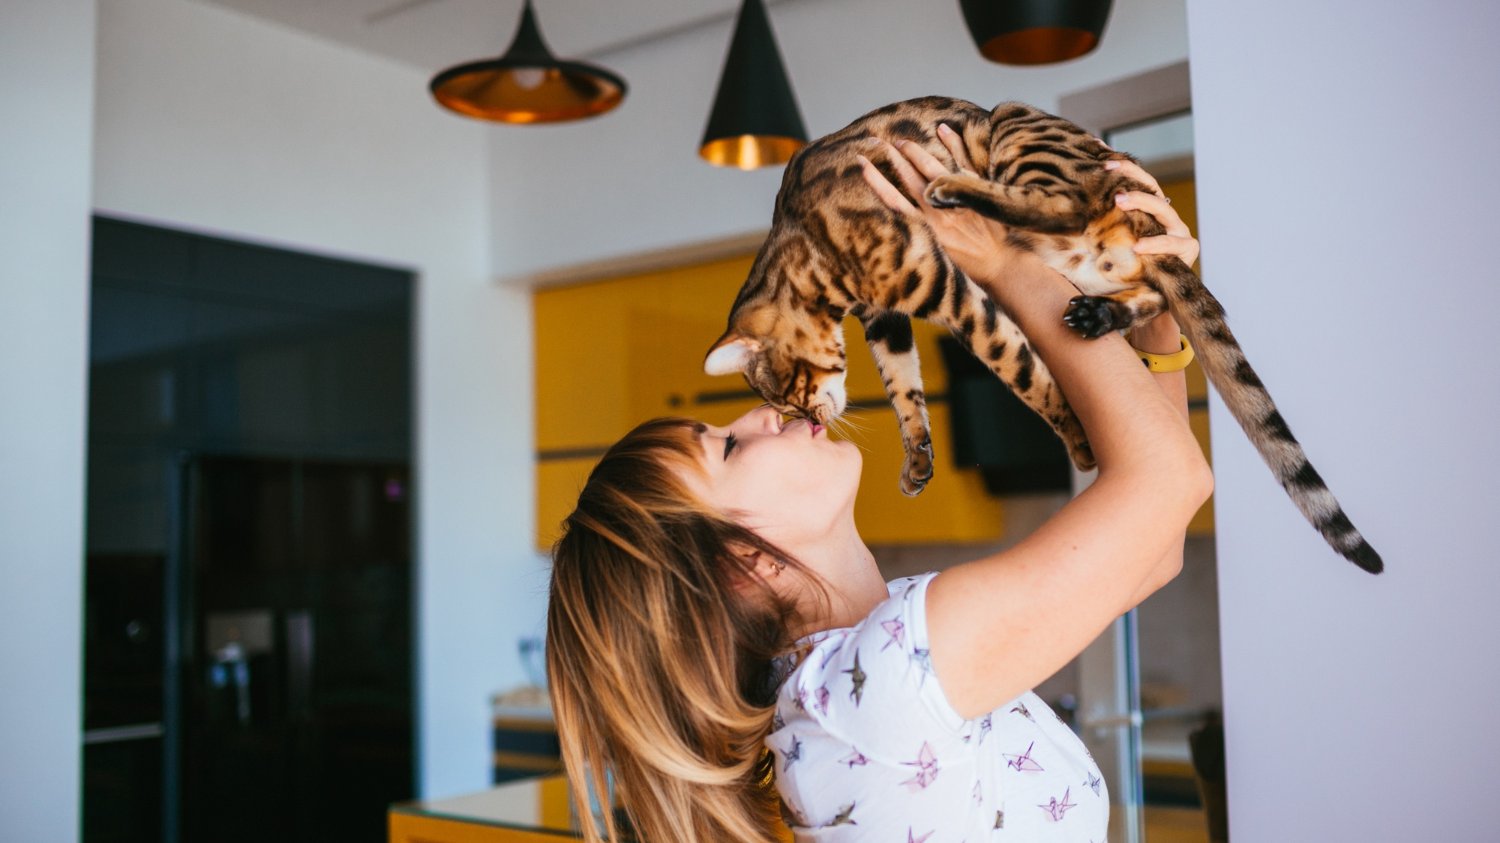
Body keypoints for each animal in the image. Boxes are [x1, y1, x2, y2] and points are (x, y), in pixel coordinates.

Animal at [702, 96, 1380, 570]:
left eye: (790, 394)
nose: (812, 423)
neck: (810, 249)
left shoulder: (943, 288)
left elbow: (1022, 371)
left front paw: (1078, 440)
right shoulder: (887, 315)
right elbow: (904, 387)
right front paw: (918, 457)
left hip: (1016, 128)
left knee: (1070, 201)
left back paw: (954, 187)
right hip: (1090, 261)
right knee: (1146, 287)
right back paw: (1098, 314)